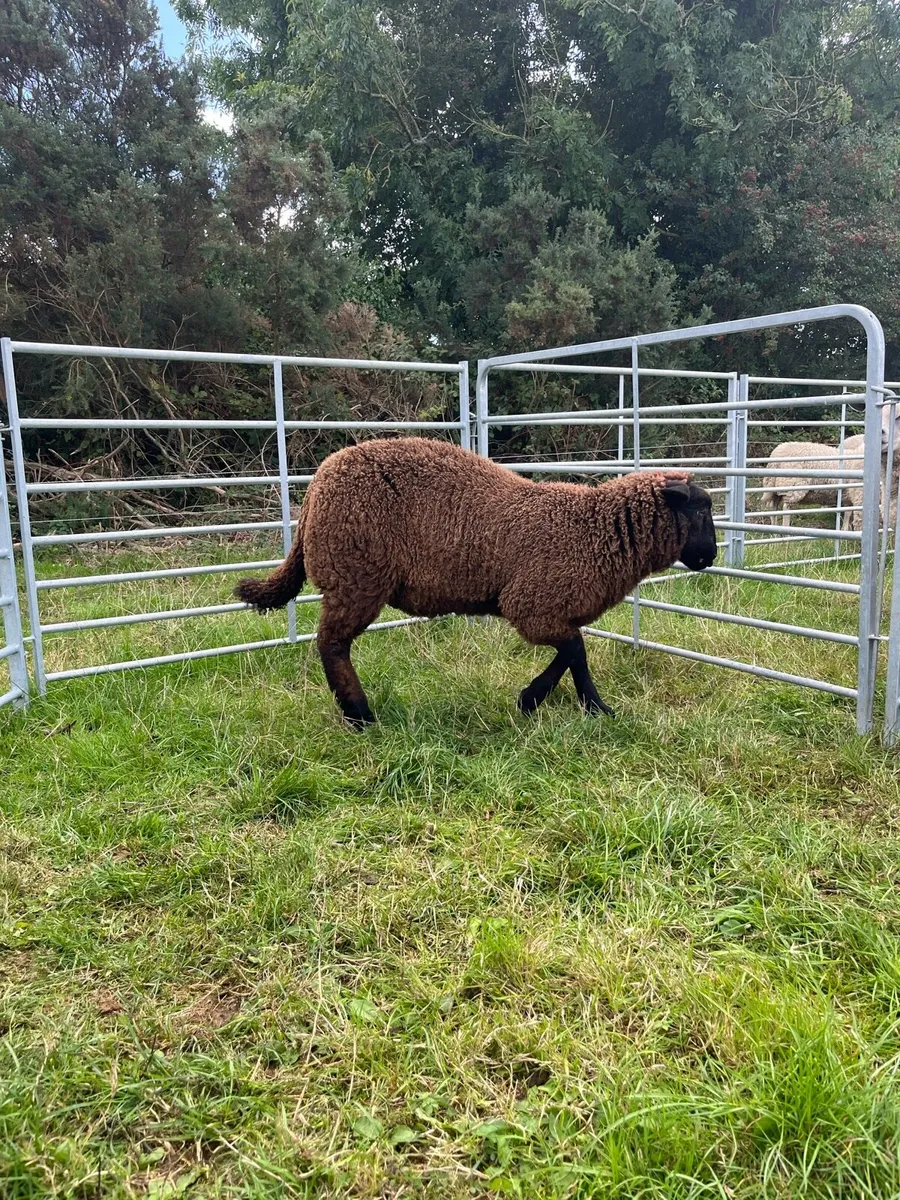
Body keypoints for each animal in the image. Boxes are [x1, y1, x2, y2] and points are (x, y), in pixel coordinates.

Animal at [235, 438, 717, 726]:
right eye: (698, 510)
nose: (710, 557)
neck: (590, 530)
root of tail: (315, 489)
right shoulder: (532, 603)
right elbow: (577, 652)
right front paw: (594, 708)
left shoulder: (551, 610)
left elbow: (569, 652)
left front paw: (531, 700)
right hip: (355, 575)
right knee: (331, 644)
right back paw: (360, 715)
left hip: (350, 576)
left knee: (332, 643)